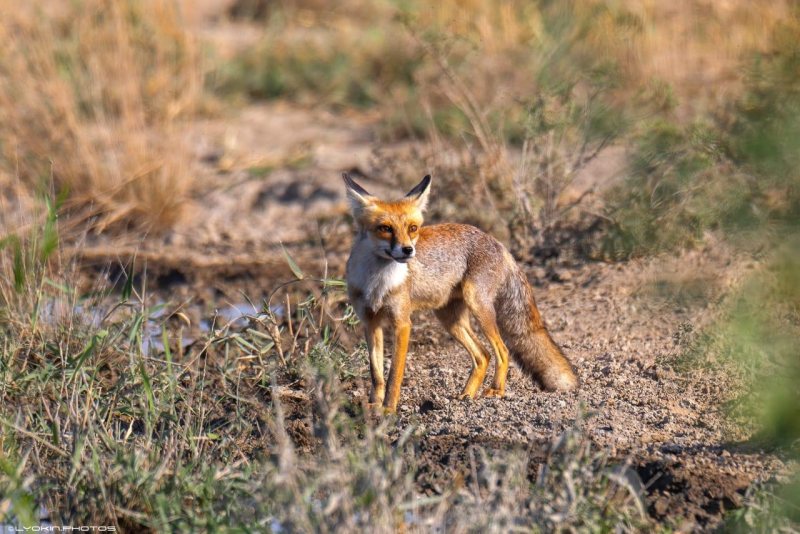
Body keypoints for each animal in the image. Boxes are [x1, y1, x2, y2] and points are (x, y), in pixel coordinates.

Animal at [340, 174, 580, 416]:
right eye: (385, 228)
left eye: (413, 228)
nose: (408, 250)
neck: (377, 282)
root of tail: (497, 242)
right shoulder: (370, 321)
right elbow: (376, 374)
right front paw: (373, 405)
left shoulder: (402, 323)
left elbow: (394, 375)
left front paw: (389, 408)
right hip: (450, 319)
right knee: (483, 355)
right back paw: (466, 395)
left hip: (478, 307)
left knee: (502, 351)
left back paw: (496, 391)